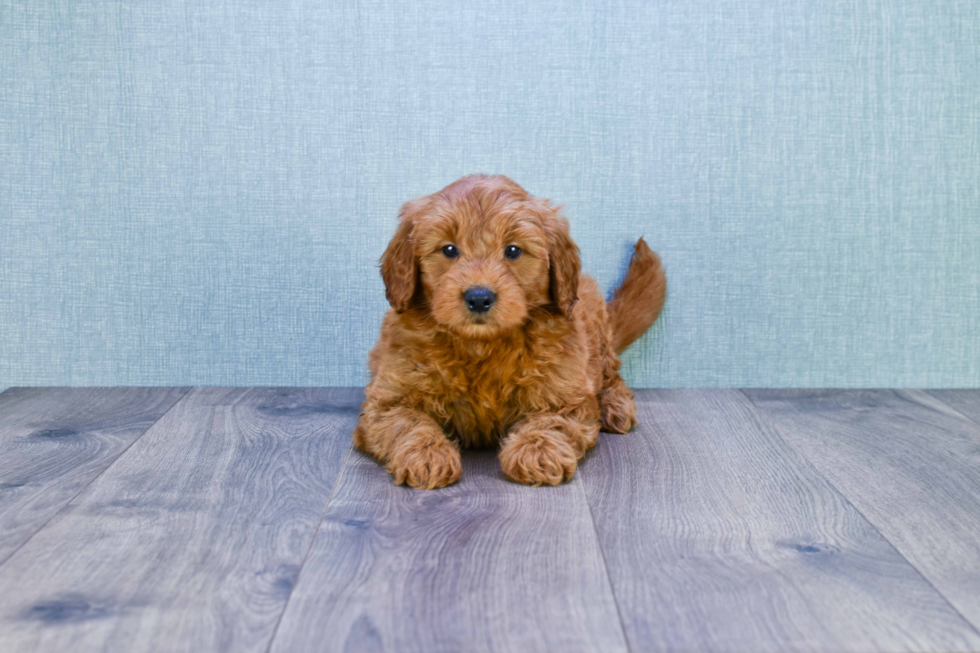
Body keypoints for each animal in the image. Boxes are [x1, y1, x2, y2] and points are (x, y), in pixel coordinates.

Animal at [352, 176, 668, 486]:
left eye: (513, 250)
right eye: (449, 249)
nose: (479, 297)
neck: (481, 345)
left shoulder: (564, 395)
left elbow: (551, 420)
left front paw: (537, 450)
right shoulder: (388, 400)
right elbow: (408, 422)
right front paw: (427, 454)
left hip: (596, 330)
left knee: (610, 373)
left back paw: (614, 406)